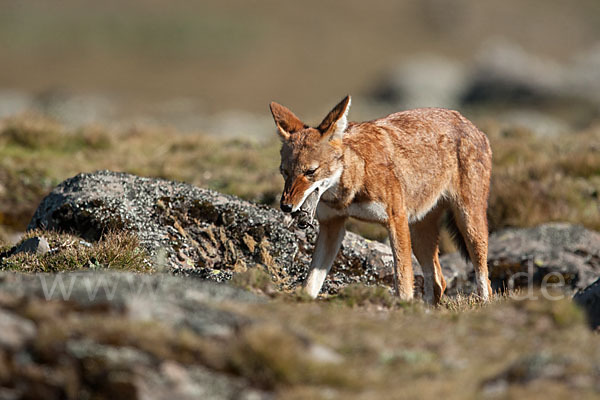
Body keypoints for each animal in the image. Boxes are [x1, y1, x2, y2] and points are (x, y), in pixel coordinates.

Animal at [270, 97, 492, 304]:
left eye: (310, 172)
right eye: (285, 172)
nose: (286, 206)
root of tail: (469, 123)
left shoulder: (396, 220)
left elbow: (403, 282)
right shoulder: (332, 225)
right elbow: (311, 283)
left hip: (469, 227)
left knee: (485, 282)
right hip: (420, 235)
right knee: (439, 281)